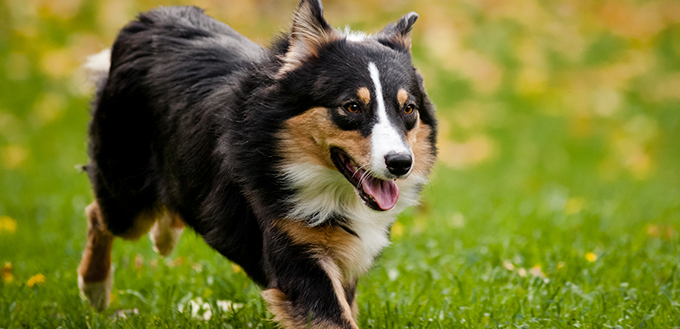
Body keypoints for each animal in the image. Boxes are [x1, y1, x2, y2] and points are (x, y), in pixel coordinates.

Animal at [77, 1, 438, 326]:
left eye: (408, 109)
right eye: (351, 107)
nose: (401, 163)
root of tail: (149, 18)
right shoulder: (295, 249)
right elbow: (333, 316)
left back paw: (163, 237)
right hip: (126, 193)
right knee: (98, 214)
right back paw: (95, 288)